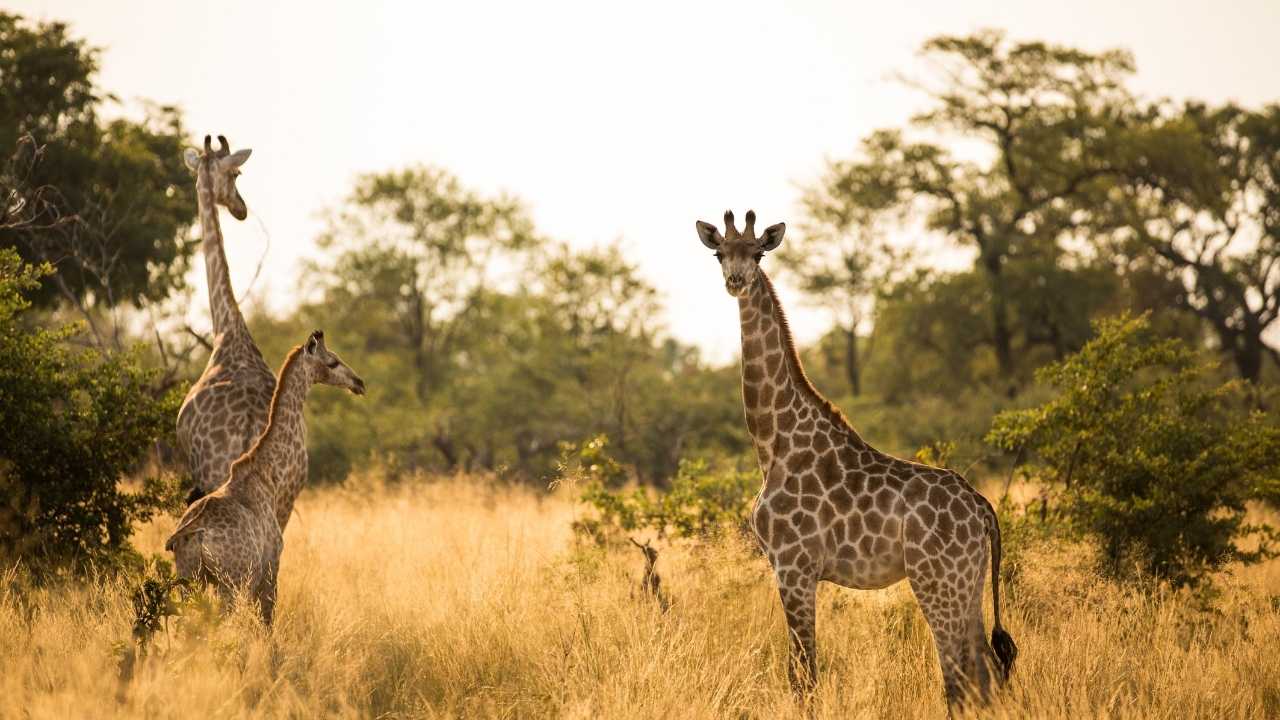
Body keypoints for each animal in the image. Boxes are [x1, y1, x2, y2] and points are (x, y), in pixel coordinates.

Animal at [165, 330, 365, 624]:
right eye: (333, 362)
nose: (358, 383)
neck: (267, 473)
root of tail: (196, 532)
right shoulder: (270, 566)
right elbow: (266, 620)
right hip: (231, 582)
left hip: (190, 578)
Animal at [695, 210, 1017, 710]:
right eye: (719, 254)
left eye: (758, 253)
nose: (736, 281)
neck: (772, 443)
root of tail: (984, 509)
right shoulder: (790, 568)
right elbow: (801, 672)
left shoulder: (794, 566)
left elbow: (803, 675)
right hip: (967, 580)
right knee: (984, 671)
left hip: (937, 580)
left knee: (959, 675)